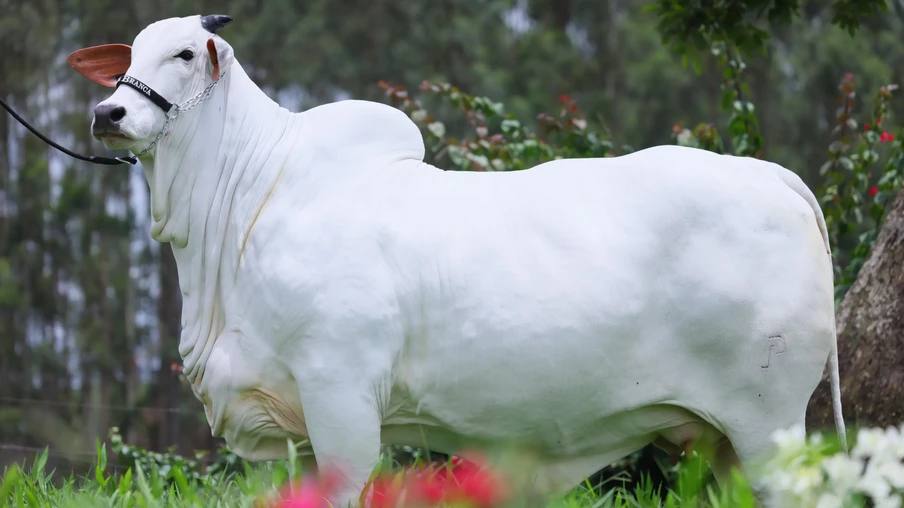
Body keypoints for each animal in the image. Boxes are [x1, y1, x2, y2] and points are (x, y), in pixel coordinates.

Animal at [67, 14, 847, 507]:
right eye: (127, 57)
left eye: (184, 54)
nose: (109, 114)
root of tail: (772, 176)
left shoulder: (341, 395)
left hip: (769, 420)